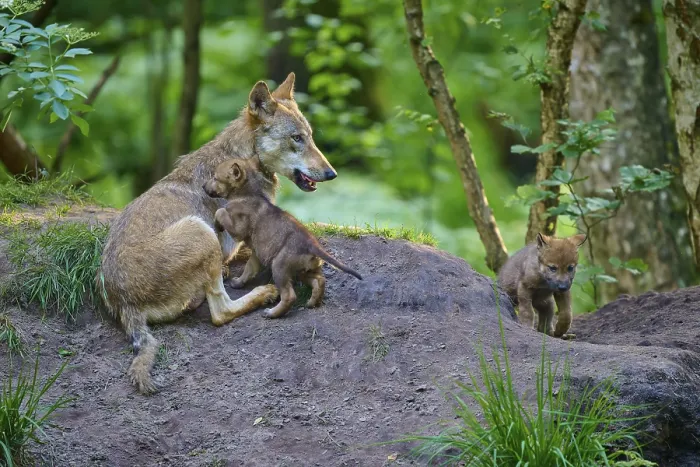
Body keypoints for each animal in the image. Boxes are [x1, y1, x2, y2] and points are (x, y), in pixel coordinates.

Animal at [100, 73, 337, 393]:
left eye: (309, 136)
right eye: (296, 138)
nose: (332, 173)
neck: (244, 161)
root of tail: (123, 302)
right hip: (201, 231)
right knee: (221, 312)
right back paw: (263, 293)